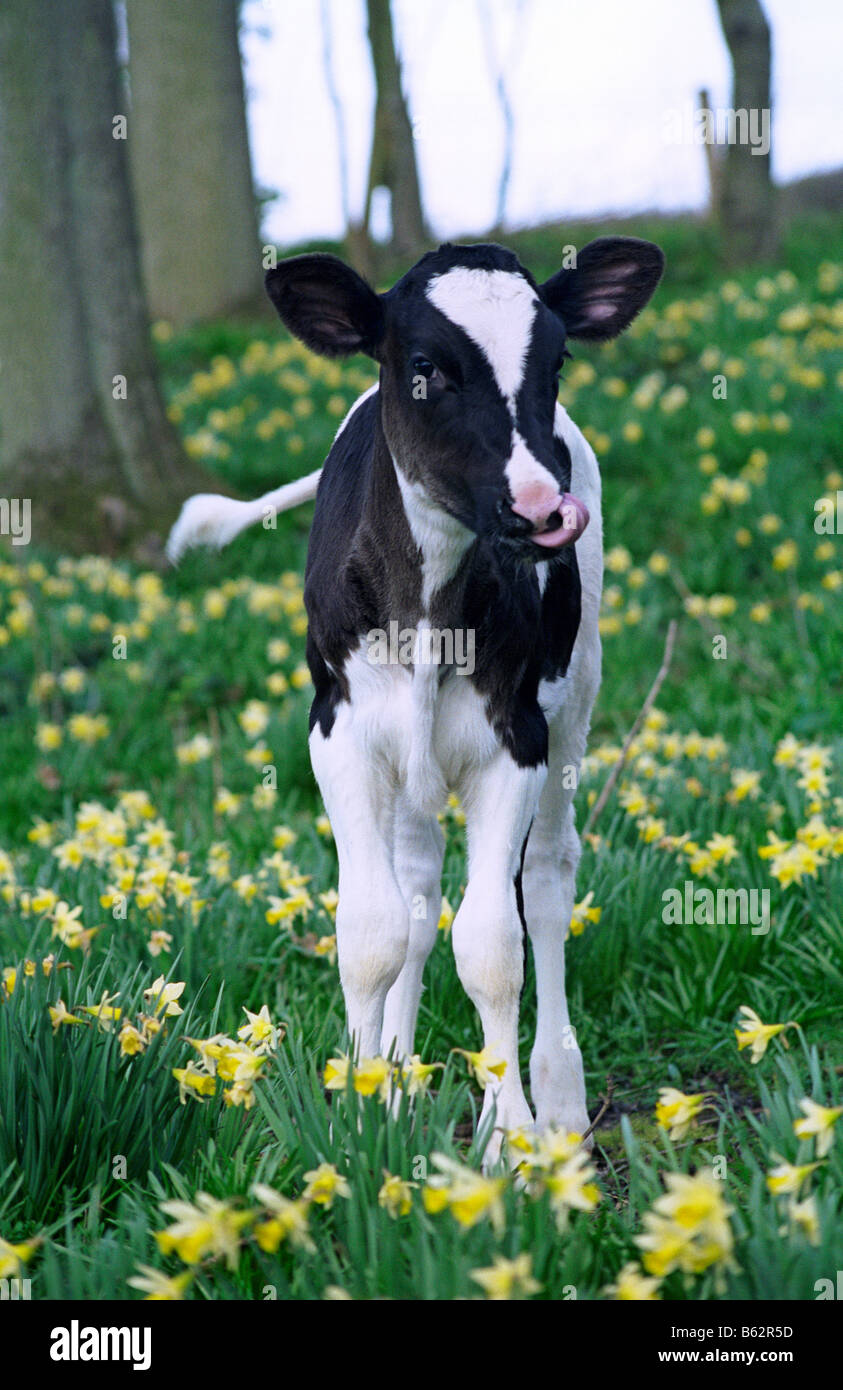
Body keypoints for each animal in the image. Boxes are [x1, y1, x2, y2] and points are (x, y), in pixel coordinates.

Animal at [166, 241, 667, 1162]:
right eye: (426, 369)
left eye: (555, 362)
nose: (543, 508)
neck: (430, 605)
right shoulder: (339, 734)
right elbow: (372, 932)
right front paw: (360, 1117)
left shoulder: (517, 736)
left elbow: (492, 945)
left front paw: (510, 1143)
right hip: (409, 758)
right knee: (416, 889)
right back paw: (394, 1079)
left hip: (576, 696)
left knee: (546, 882)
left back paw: (559, 1099)